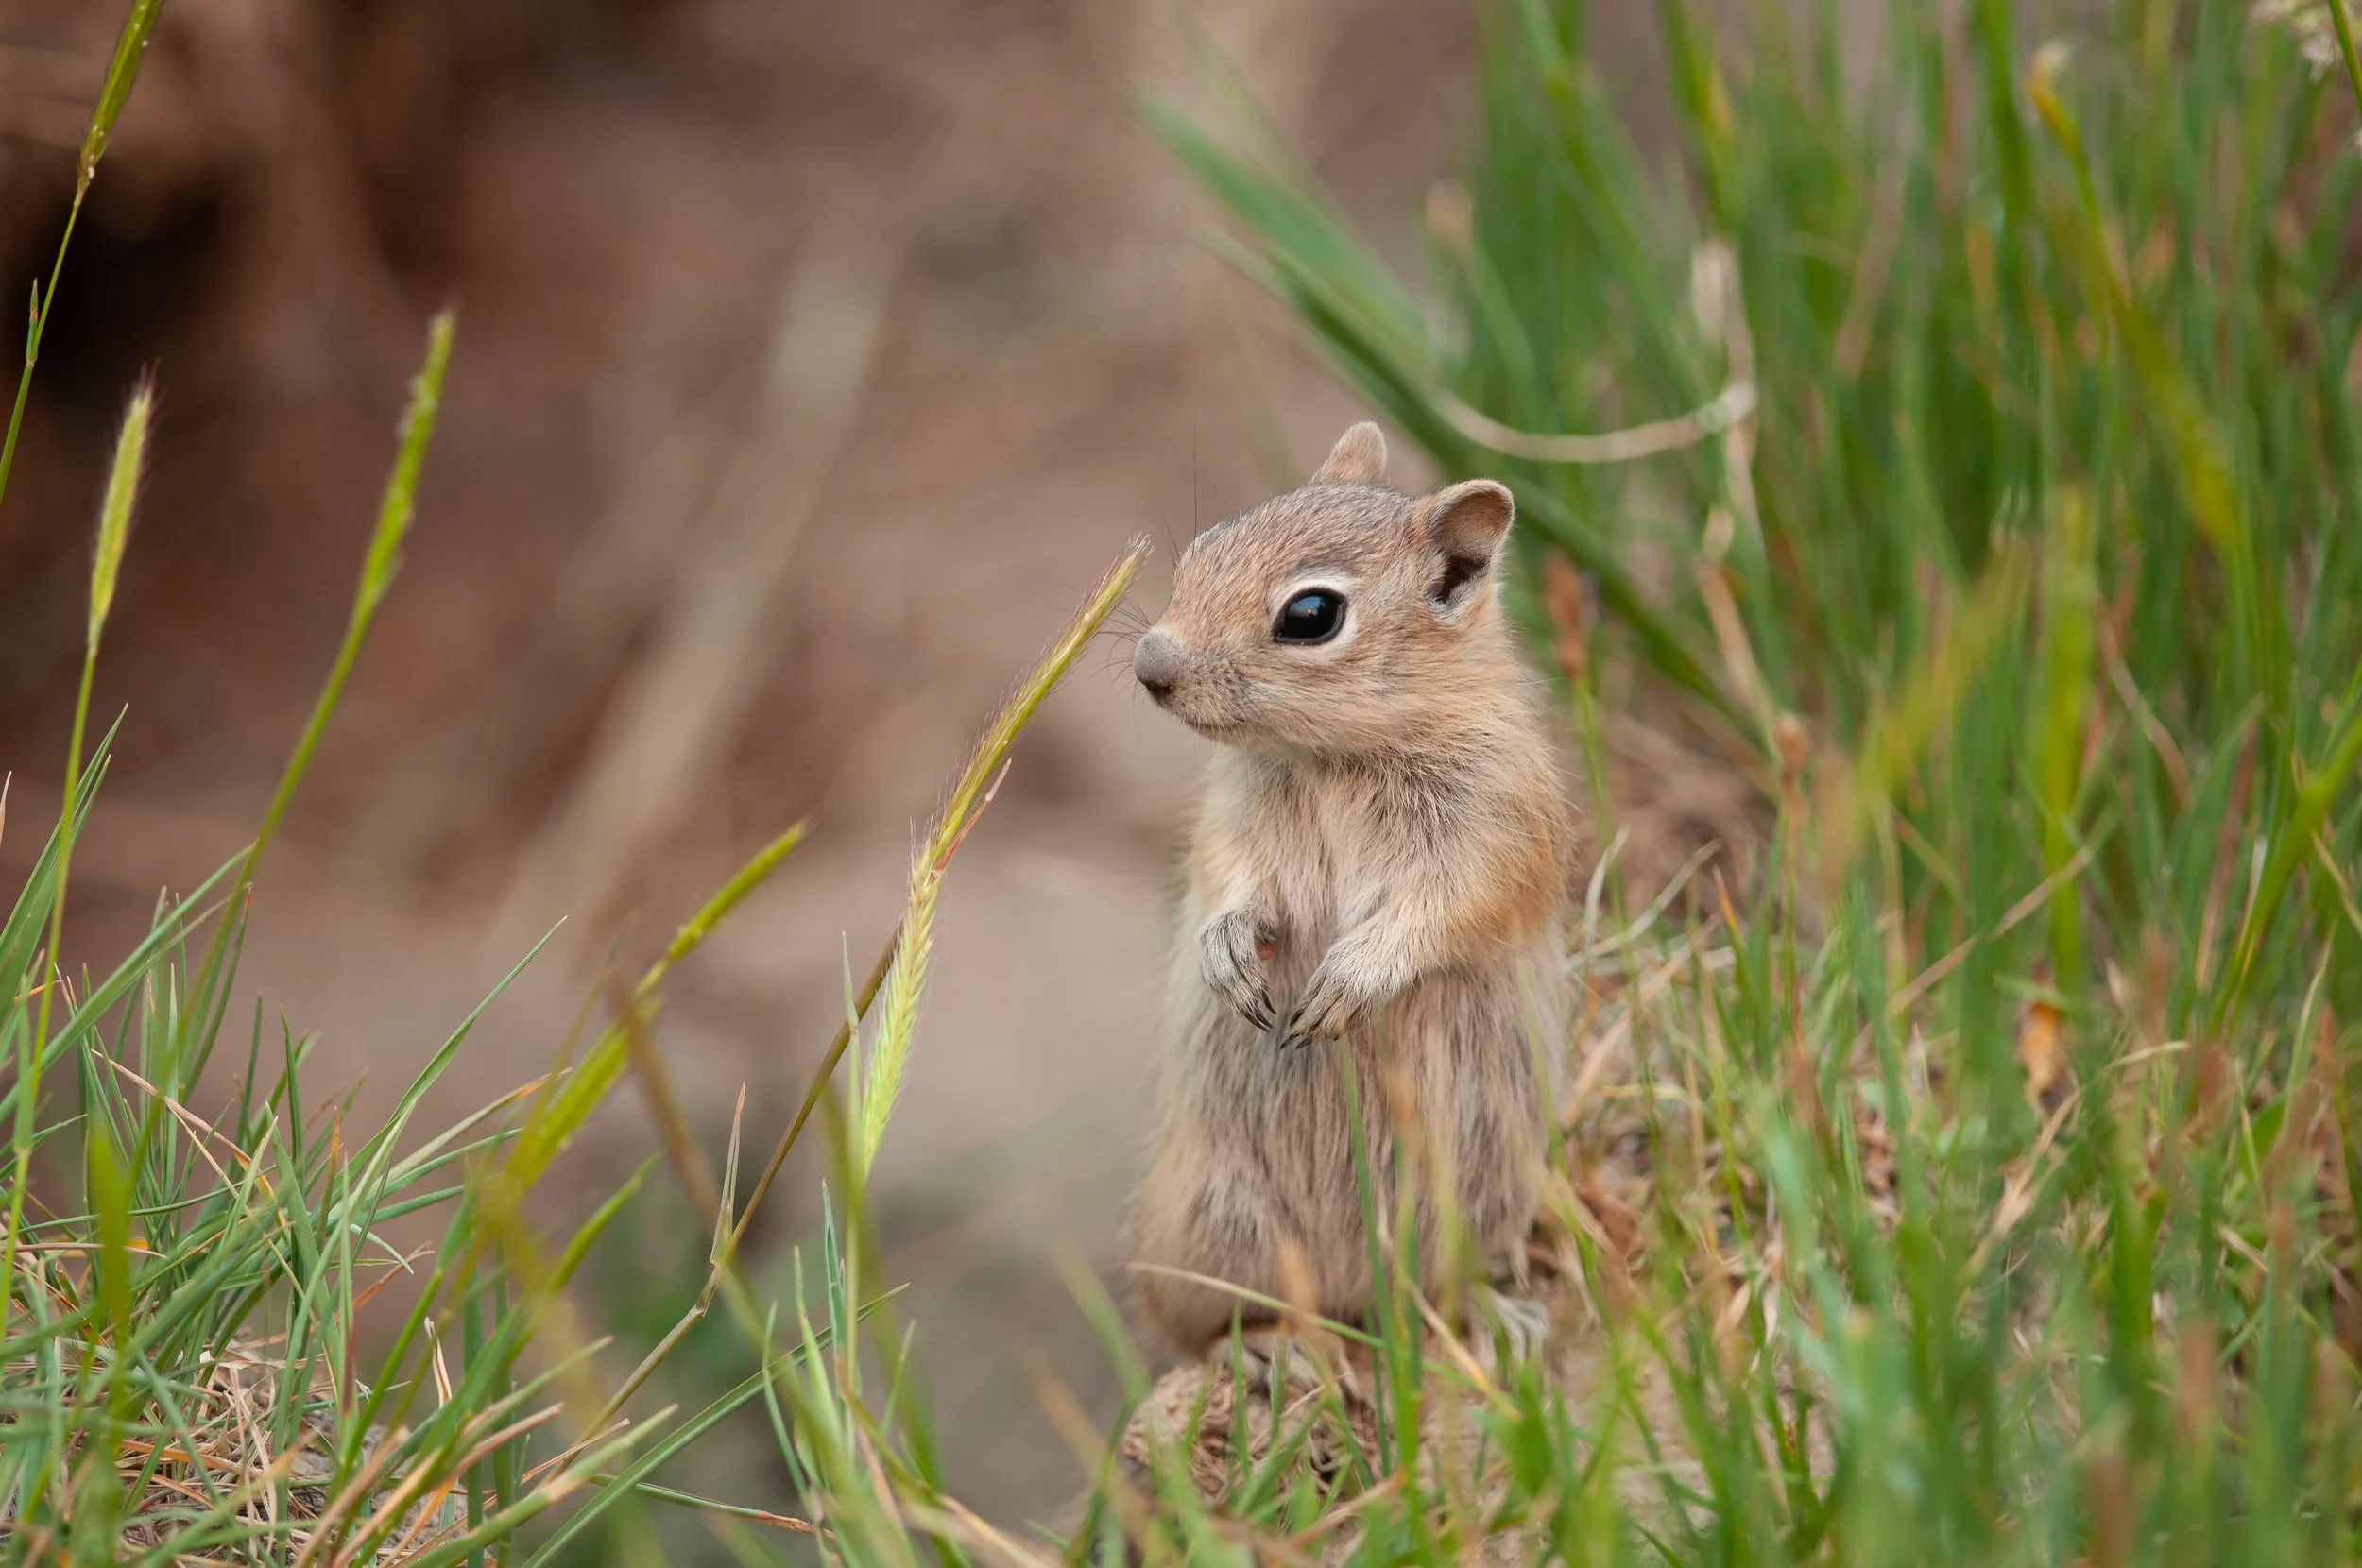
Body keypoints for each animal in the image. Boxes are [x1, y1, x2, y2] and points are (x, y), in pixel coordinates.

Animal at [1124, 421, 1572, 1378]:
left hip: (1476, 1202)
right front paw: (1226, 950)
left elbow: (1446, 908)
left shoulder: (1490, 827)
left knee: (1440, 1288)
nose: (1150, 667)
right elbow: (1228, 878)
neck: (1333, 754)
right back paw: (1274, 1348)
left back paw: (1495, 1318)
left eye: (1311, 616)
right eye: (1203, 546)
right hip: (1216, 1223)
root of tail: (1358, 1302)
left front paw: (1351, 981)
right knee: (1208, 1322)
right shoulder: (1234, 822)